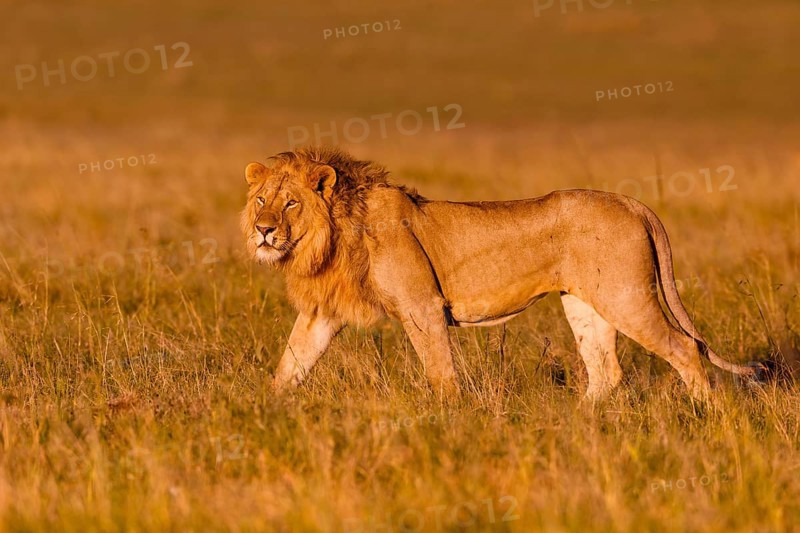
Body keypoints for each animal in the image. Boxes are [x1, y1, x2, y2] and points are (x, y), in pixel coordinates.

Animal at [241, 147, 764, 399]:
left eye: (291, 203)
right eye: (262, 199)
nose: (264, 230)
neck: (335, 235)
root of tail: (631, 201)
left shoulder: (422, 307)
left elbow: (440, 373)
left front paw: (448, 421)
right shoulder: (322, 314)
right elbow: (291, 363)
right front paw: (265, 411)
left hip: (626, 296)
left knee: (685, 348)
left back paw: (710, 417)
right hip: (585, 302)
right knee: (605, 372)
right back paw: (578, 426)